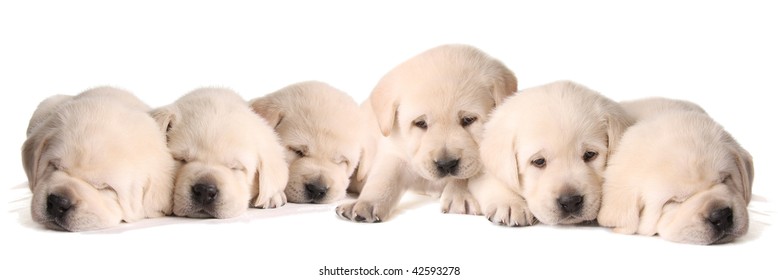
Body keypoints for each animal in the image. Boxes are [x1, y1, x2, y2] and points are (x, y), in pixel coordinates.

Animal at [334, 44, 512, 223]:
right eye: (420, 123)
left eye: (468, 120)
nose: (446, 164)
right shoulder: (395, 151)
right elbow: (384, 179)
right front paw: (365, 203)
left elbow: (467, 175)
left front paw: (459, 195)